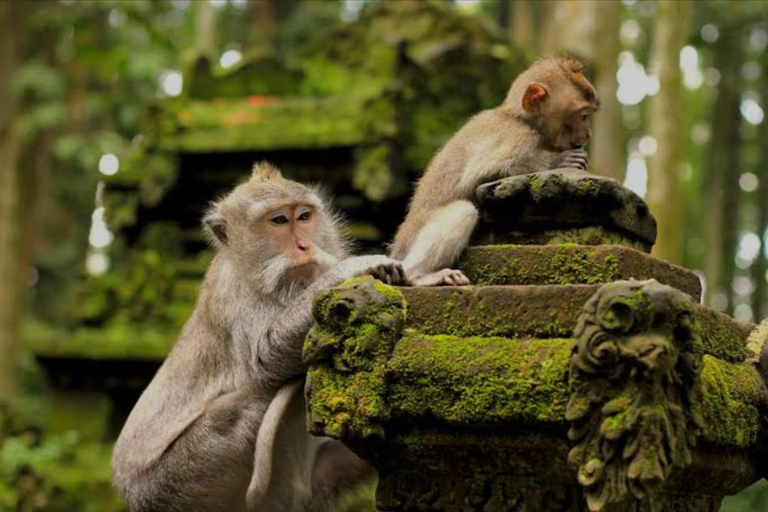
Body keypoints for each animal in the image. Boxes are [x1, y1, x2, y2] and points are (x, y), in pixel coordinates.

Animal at [112, 162, 405, 512]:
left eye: (304, 216)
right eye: (278, 221)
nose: (304, 246)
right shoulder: (233, 295)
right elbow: (265, 359)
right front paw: (351, 268)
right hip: (175, 483)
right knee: (244, 405)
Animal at [391, 54, 599, 286]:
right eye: (583, 116)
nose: (588, 134)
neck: (520, 118)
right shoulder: (516, 136)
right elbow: (480, 175)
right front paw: (559, 161)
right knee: (463, 210)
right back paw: (418, 275)